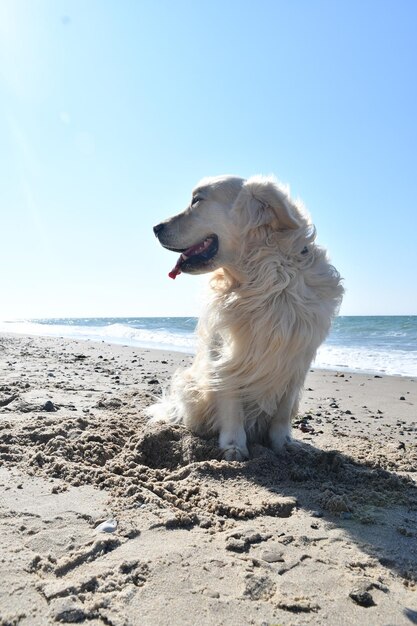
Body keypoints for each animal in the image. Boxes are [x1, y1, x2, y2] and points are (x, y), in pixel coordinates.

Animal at [148, 176, 342, 458]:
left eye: (197, 200)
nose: (156, 227)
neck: (262, 276)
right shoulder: (225, 353)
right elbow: (230, 403)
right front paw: (233, 446)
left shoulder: (297, 358)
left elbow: (283, 411)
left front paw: (283, 443)